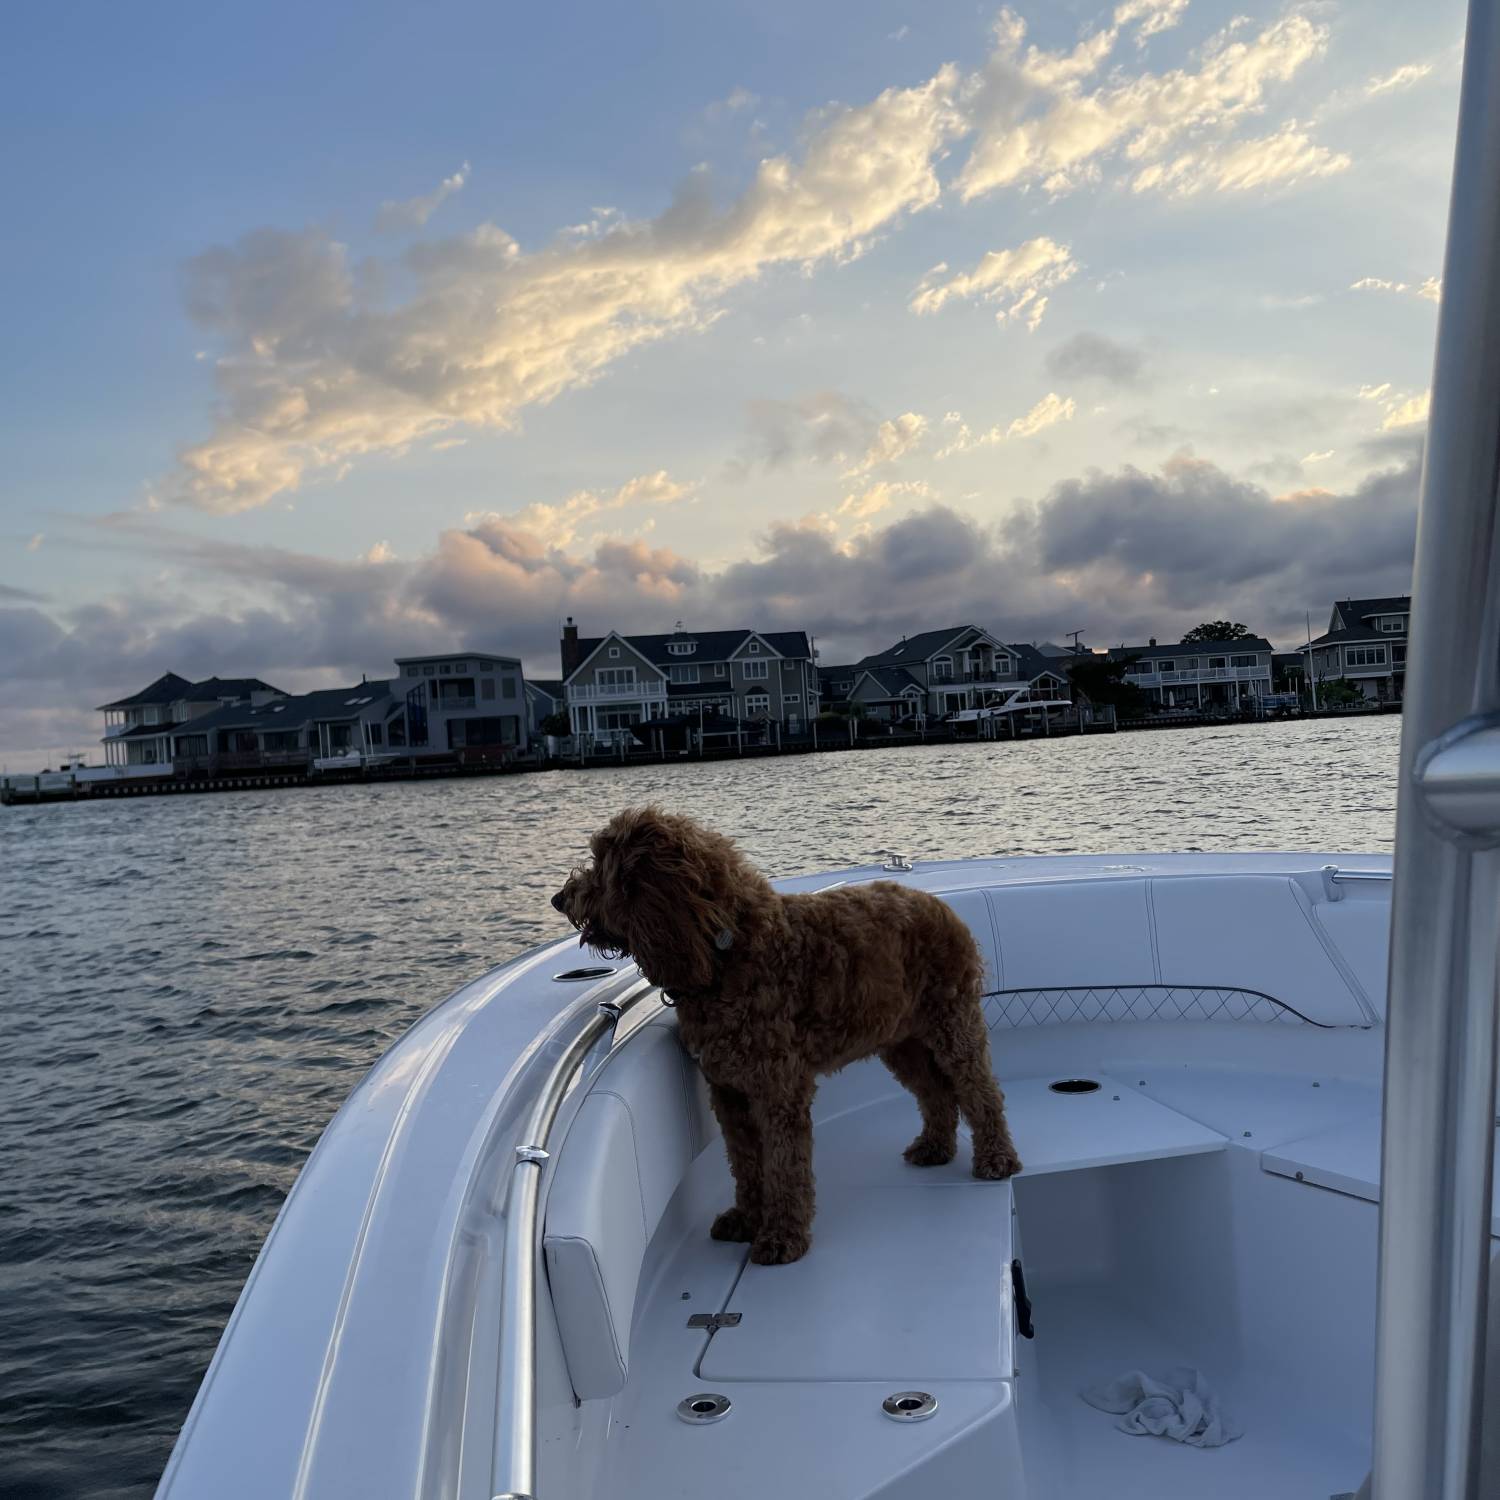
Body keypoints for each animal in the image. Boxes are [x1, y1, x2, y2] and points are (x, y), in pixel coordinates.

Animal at [552, 810, 1020, 1266]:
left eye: (602, 867)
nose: (560, 898)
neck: (725, 952)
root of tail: (943, 908)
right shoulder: (728, 1091)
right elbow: (745, 1164)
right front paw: (746, 1219)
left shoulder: (777, 1089)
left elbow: (782, 1165)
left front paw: (782, 1237)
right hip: (901, 1041)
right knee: (936, 1093)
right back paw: (935, 1148)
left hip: (952, 1023)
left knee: (981, 1092)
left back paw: (997, 1158)